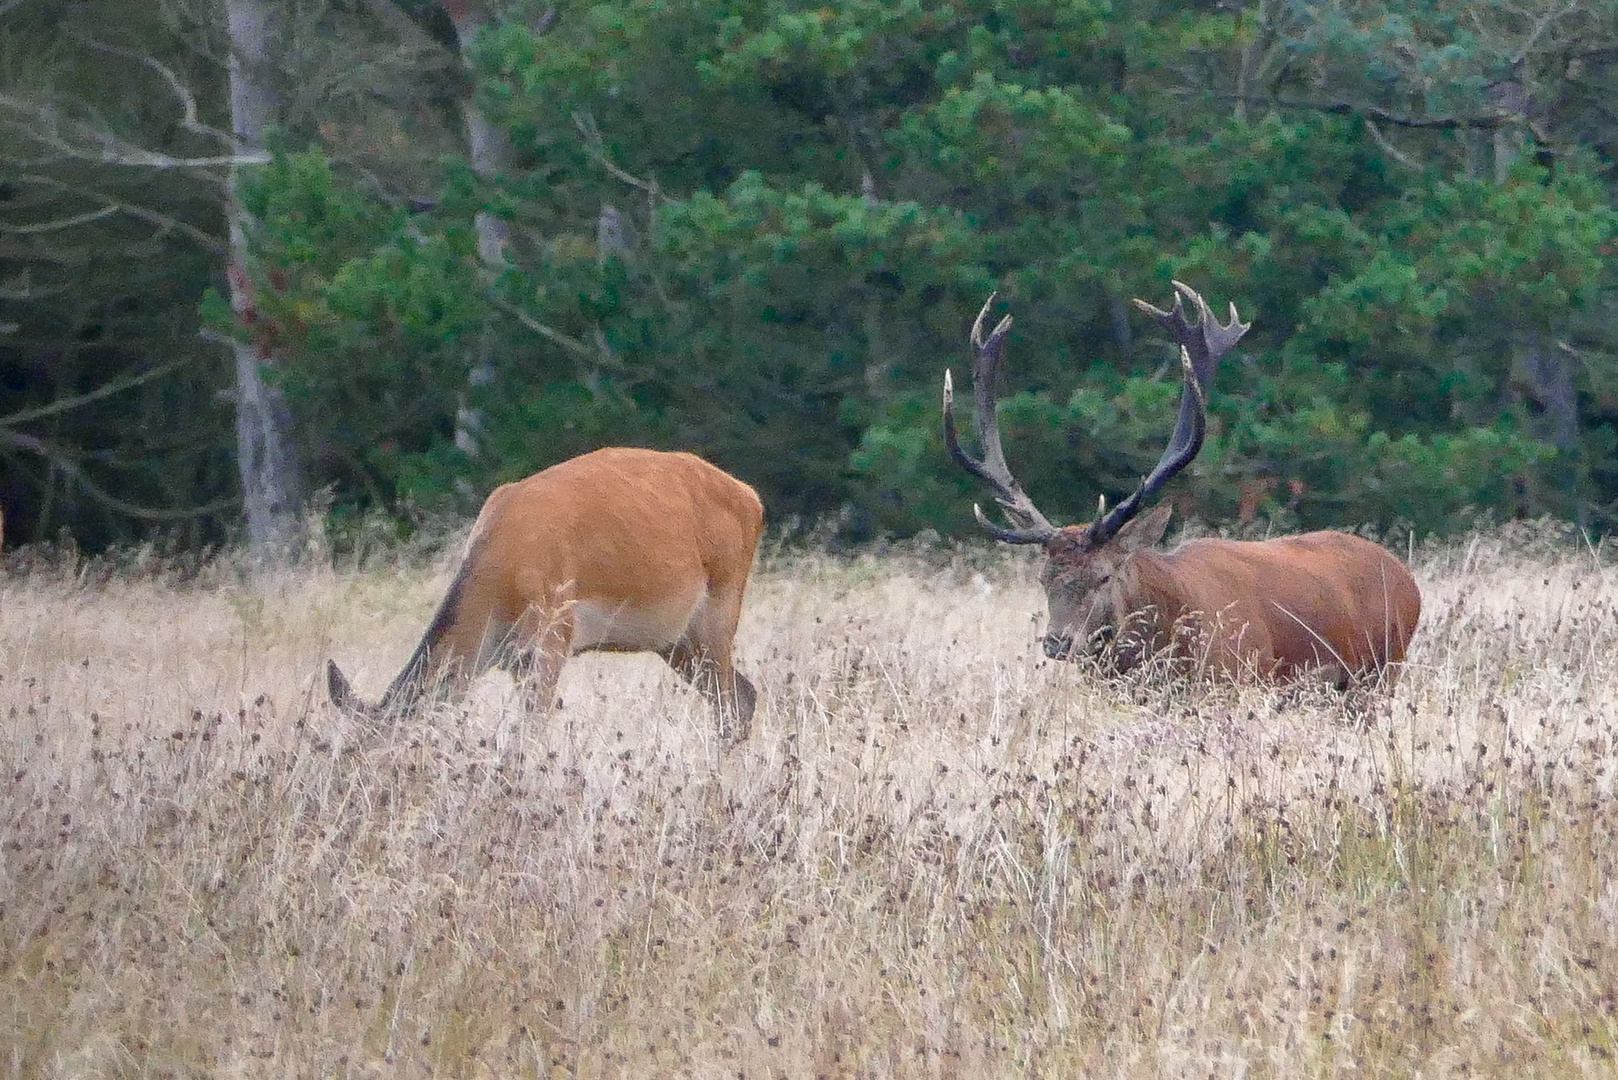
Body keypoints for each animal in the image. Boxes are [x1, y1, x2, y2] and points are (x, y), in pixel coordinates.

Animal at [325, 446, 766, 744]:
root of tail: (753, 498)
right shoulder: (517, 659)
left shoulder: (554, 635)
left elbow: (531, 735)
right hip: (674, 641)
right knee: (743, 694)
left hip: (721, 607)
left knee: (731, 704)